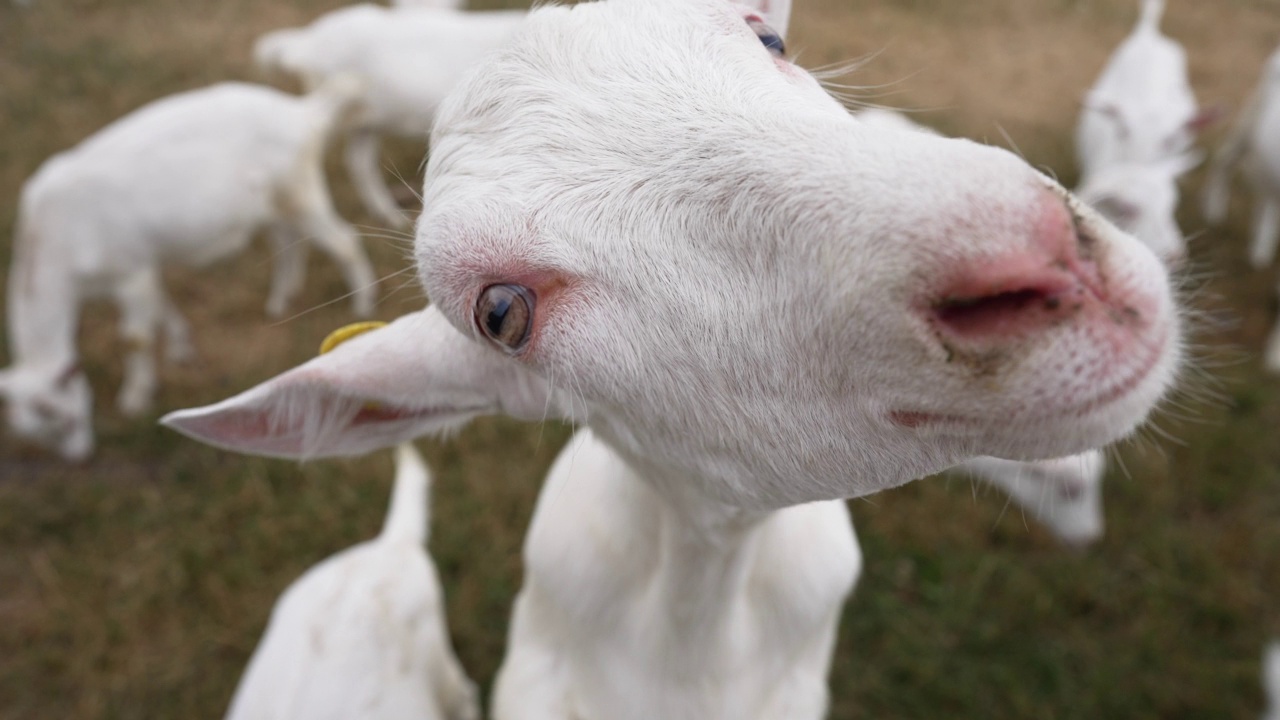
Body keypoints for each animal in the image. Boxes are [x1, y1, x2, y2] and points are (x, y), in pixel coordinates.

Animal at [0, 79, 376, 458]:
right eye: (40, 432)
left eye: (65, 417)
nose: (81, 456)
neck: (51, 239)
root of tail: (303, 112)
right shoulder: (146, 269)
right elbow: (162, 308)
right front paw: (181, 350)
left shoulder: (130, 273)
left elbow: (135, 339)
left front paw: (135, 398)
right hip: (272, 205)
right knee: (287, 241)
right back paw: (281, 301)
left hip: (299, 191)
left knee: (343, 240)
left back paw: (362, 304)